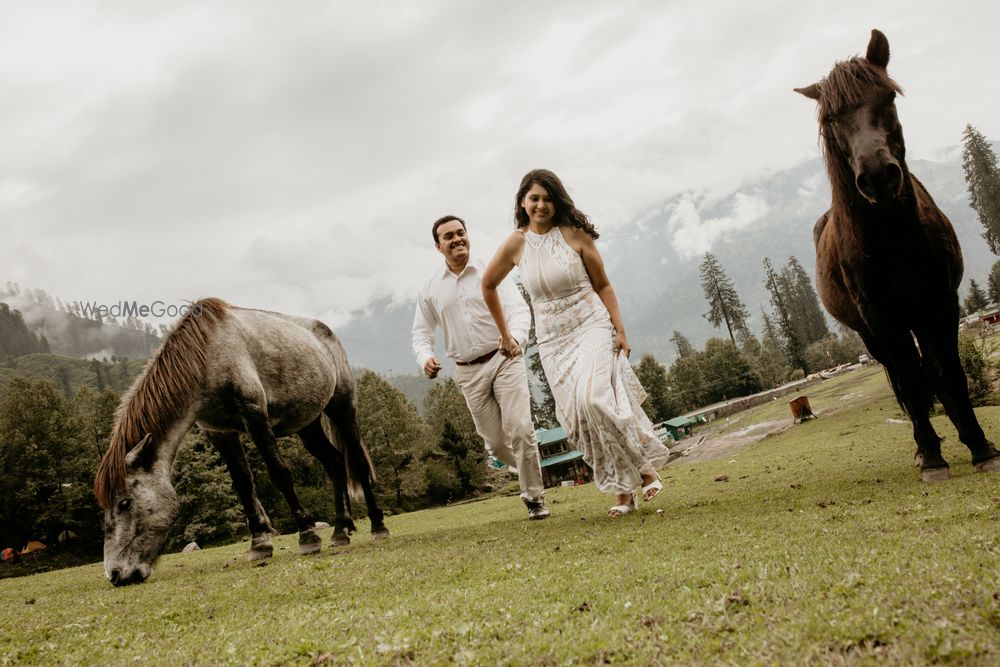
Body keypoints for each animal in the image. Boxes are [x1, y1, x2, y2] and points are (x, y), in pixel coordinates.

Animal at [94, 298, 386, 584]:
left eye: (124, 503)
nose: (116, 575)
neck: (208, 356)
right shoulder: (220, 433)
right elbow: (243, 484)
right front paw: (260, 544)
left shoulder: (255, 416)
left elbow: (280, 474)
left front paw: (308, 535)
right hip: (308, 425)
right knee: (335, 463)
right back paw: (340, 530)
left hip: (342, 409)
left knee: (357, 461)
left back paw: (378, 526)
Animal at [796, 30, 1000, 480]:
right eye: (831, 119)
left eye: (888, 97)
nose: (877, 175)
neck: (894, 237)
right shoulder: (880, 318)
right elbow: (908, 380)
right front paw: (933, 456)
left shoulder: (940, 302)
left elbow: (949, 372)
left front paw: (979, 445)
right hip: (873, 334)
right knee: (903, 377)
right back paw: (925, 446)